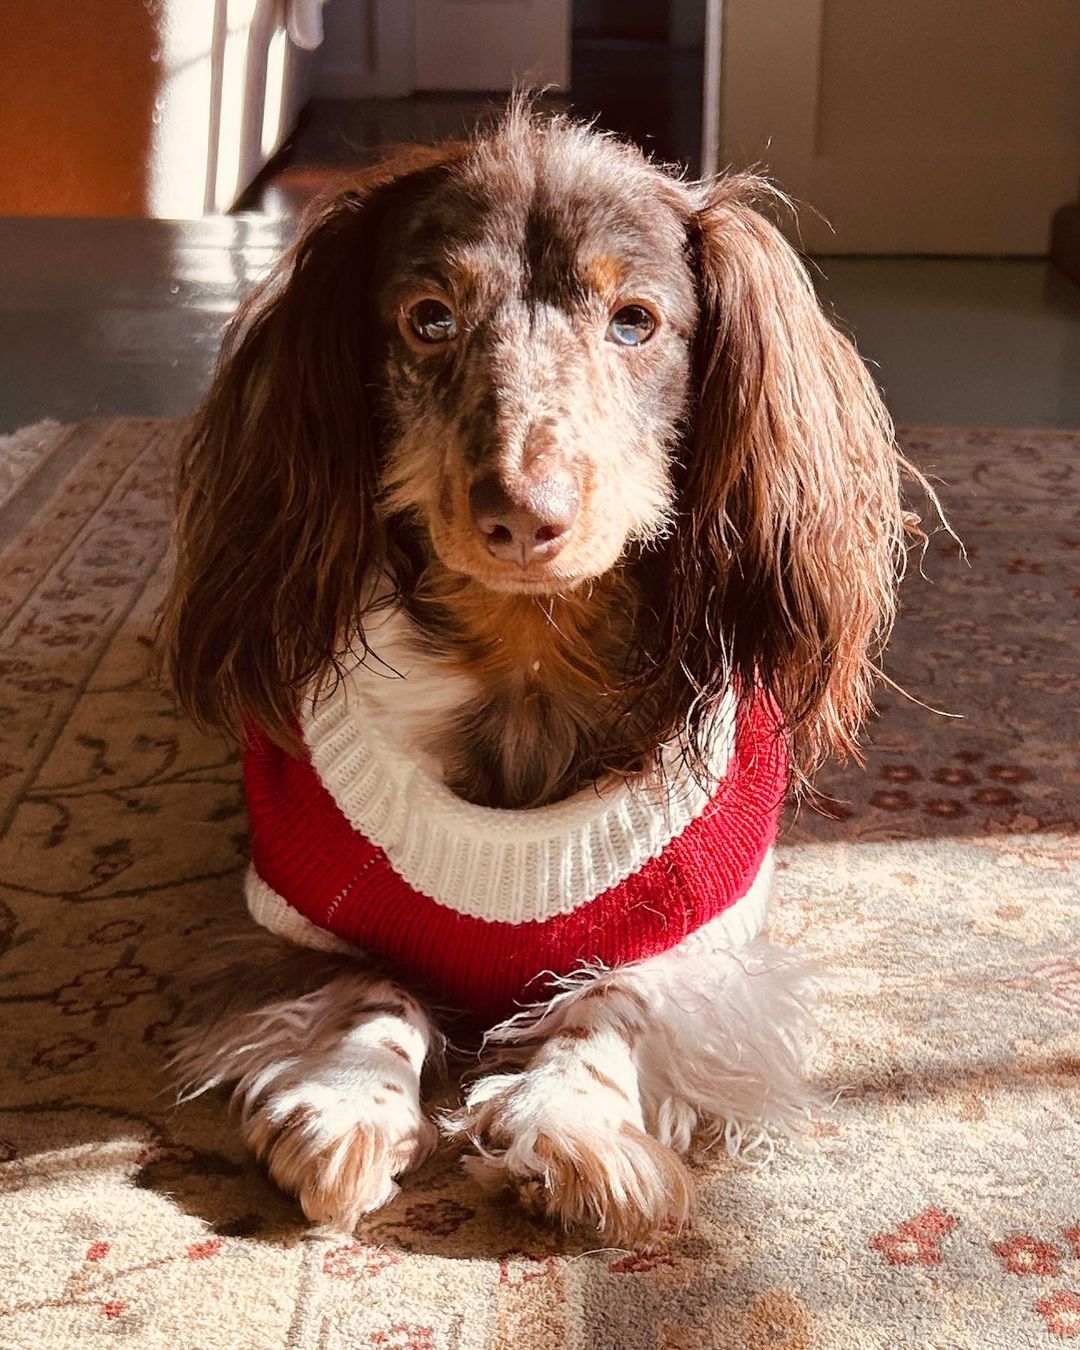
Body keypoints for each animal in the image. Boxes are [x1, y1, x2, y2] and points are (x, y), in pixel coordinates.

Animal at [160, 103, 923, 1246]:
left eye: (636, 321)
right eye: (430, 317)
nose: (525, 514)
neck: (523, 658)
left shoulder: (707, 932)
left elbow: (615, 998)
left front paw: (574, 1121)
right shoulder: (286, 908)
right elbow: (368, 991)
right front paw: (346, 1104)